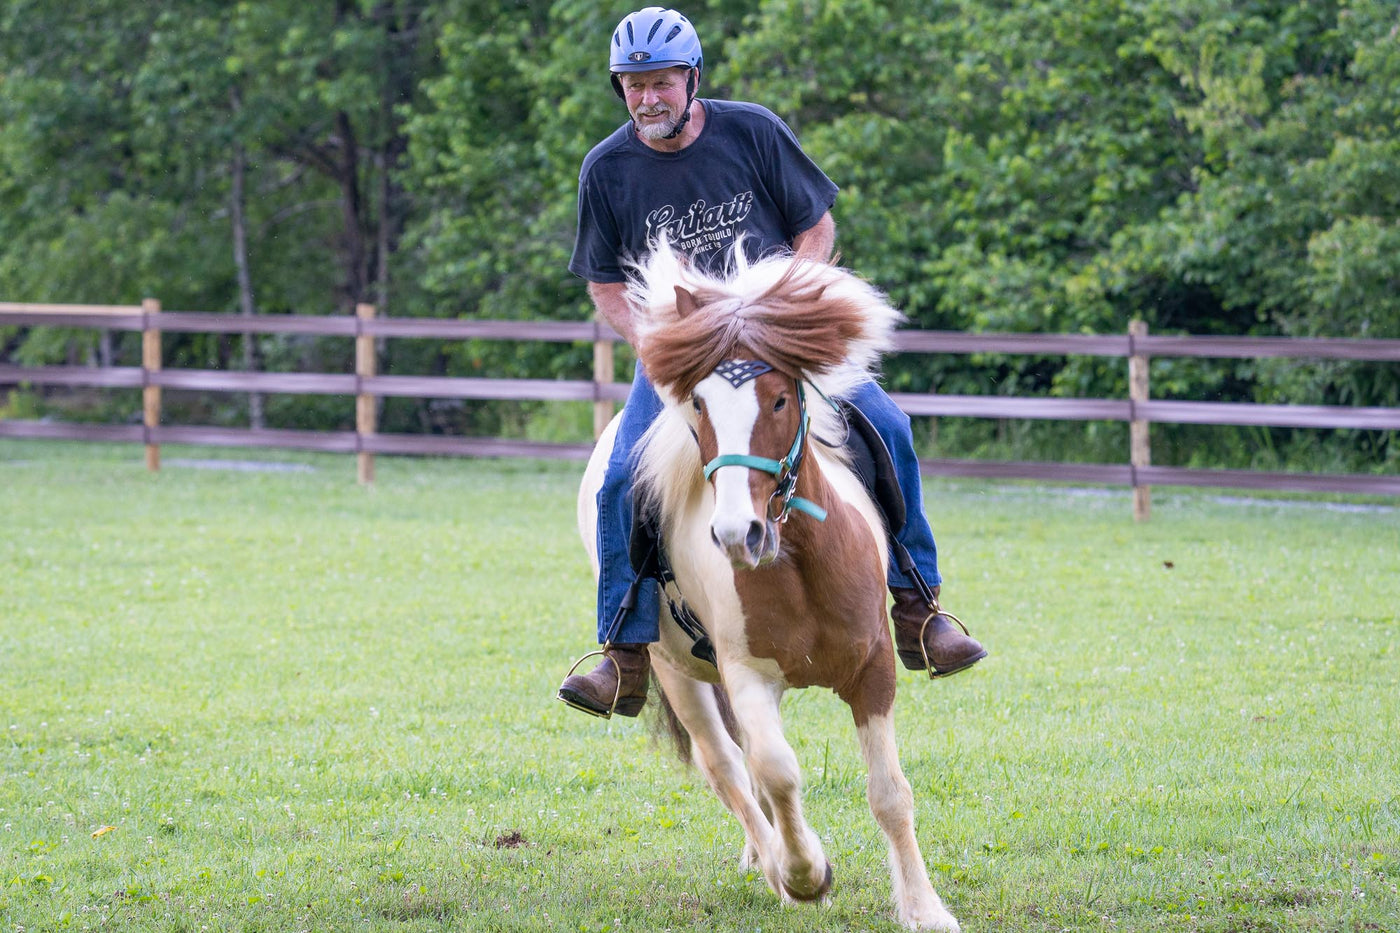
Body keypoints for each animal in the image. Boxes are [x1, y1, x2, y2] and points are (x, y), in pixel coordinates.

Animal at [577, 242, 960, 932]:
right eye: (699, 405)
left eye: (780, 400)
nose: (737, 533)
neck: (801, 561)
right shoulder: (746, 673)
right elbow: (776, 772)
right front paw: (805, 875)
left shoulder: (874, 667)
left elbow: (889, 792)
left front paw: (924, 909)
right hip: (676, 673)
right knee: (727, 765)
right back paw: (774, 862)